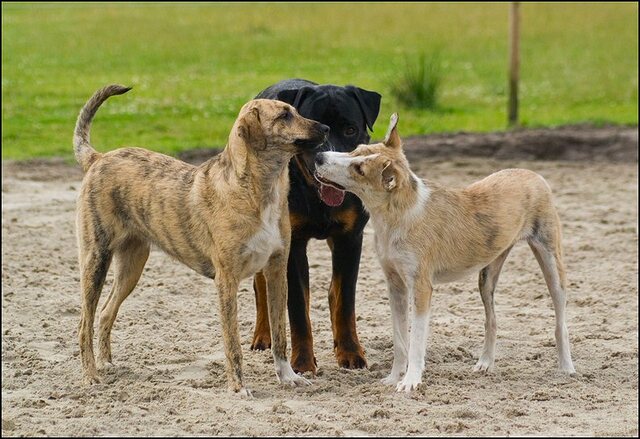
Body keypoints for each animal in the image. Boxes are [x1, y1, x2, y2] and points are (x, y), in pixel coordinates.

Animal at [74, 85, 330, 396]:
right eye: (284, 116)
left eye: (295, 111)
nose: (326, 128)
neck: (258, 190)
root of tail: (98, 158)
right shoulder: (227, 279)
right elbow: (232, 343)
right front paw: (238, 388)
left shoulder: (277, 270)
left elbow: (280, 333)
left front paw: (288, 377)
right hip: (95, 259)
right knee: (84, 322)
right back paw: (90, 376)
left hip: (131, 267)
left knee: (105, 313)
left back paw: (107, 364)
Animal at [249, 80, 380, 374]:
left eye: (350, 129)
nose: (327, 156)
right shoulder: (292, 244)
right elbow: (298, 308)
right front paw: (302, 362)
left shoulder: (350, 238)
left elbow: (344, 301)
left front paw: (350, 352)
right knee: (262, 287)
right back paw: (263, 336)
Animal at [314, 115, 576, 394]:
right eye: (357, 150)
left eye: (359, 169)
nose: (318, 157)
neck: (398, 215)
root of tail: (534, 175)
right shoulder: (395, 285)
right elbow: (399, 339)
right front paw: (394, 378)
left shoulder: (421, 287)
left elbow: (416, 340)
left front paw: (411, 381)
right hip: (487, 276)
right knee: (492, 320)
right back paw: (485, 363)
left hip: (551, 263)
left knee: (560, 322)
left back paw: (567, 368)